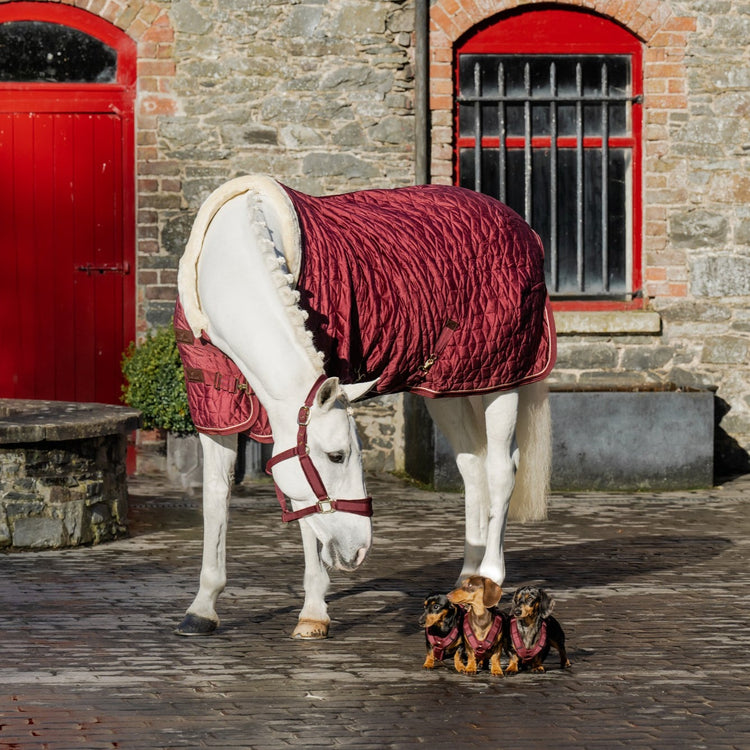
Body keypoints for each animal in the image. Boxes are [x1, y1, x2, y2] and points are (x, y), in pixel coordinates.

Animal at [176, 176, 552, 640]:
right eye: (337, 456)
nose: (359, 550)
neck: (228, 265)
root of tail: (523, 226)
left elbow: (303, 514)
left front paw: (312, 612)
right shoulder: (217, 407)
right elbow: (217, 496)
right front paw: (202, 607)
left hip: (502, 378)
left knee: (502, 468)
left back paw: (491, 578)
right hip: (447, 385)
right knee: (473, 468)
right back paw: (468, 578)